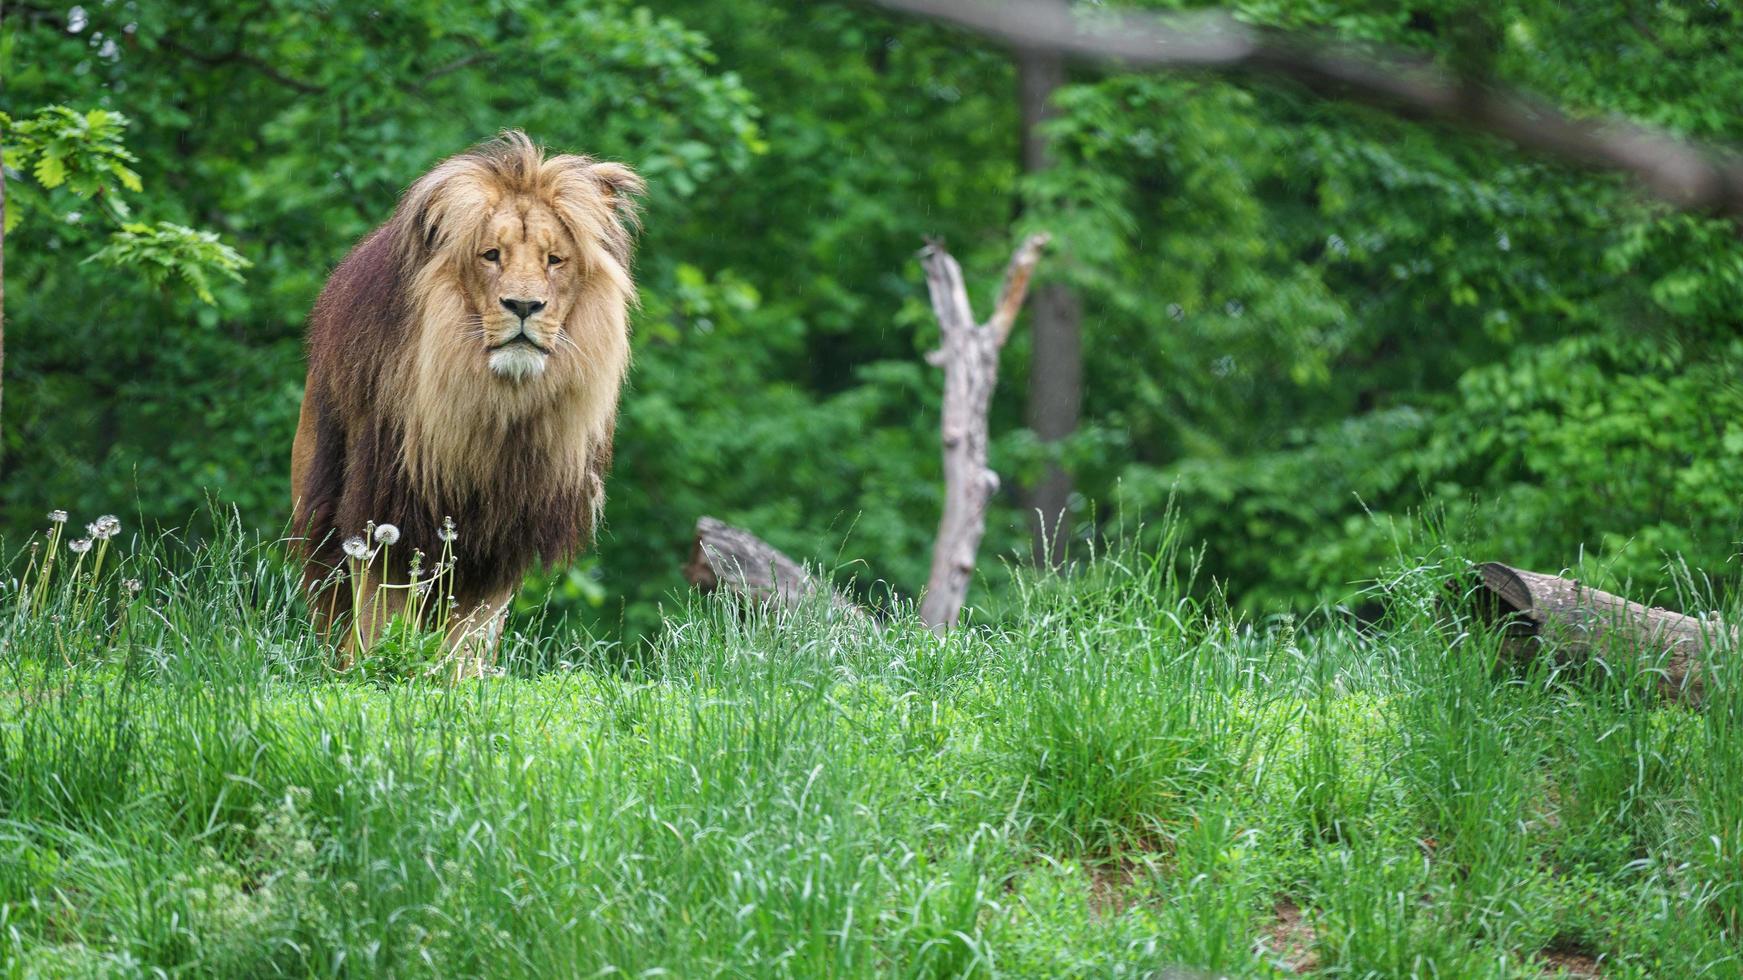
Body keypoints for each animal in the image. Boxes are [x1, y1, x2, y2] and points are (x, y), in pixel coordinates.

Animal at [292, 129, 648, 659]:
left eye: (554, 260)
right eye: (491, 255)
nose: (524, 305)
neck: (495, 407)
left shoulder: (499, 541)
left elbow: (467, 647)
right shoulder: (383, 517)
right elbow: (377, 627)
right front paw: (377, 670)